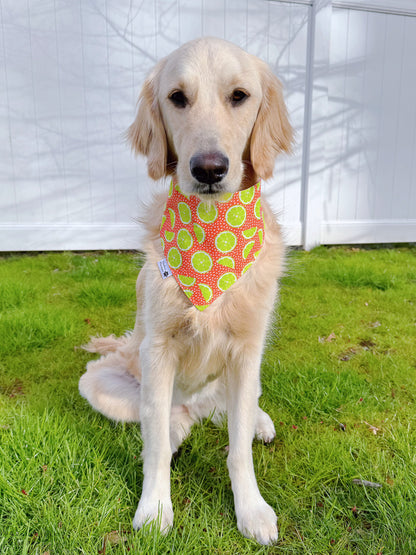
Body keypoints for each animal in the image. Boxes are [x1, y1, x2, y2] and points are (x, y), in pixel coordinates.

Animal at [79, 37, 292, 544]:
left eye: (239, 96)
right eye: (177, 97)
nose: (209, 169)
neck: (212, 239)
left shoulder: (247, 349)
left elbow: (238, 449)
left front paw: (251, 510)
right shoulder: (158, 349)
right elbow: (154, 443)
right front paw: (155, 508)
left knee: (231, 413)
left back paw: (256, 420)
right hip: (102, 379)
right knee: (169, 421)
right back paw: (179, 430)